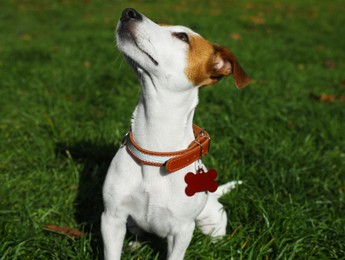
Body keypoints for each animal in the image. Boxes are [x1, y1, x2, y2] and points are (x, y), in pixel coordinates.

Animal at [101, 8, 249, 260]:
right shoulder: (112, 218)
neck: (155, 148)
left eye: (182, 36)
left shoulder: (182, 230)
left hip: (212, 219)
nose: (129, 12)